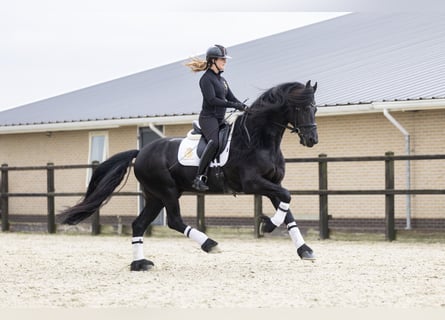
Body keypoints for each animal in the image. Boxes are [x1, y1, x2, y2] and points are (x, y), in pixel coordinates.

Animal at [59, 81, 318, 272]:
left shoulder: (273, 183)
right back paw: (210, 244)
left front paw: (304, 250)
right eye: (300, 108)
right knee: (174, 220)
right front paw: (268, 225)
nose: (312, 140)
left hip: (155, 196)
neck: (258, 140)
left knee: (139, 224)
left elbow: (287, 208)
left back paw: (139, 264)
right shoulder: (253, 183)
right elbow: (287, 197)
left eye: (314, 108)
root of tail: (141, 152)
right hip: (167, 192)